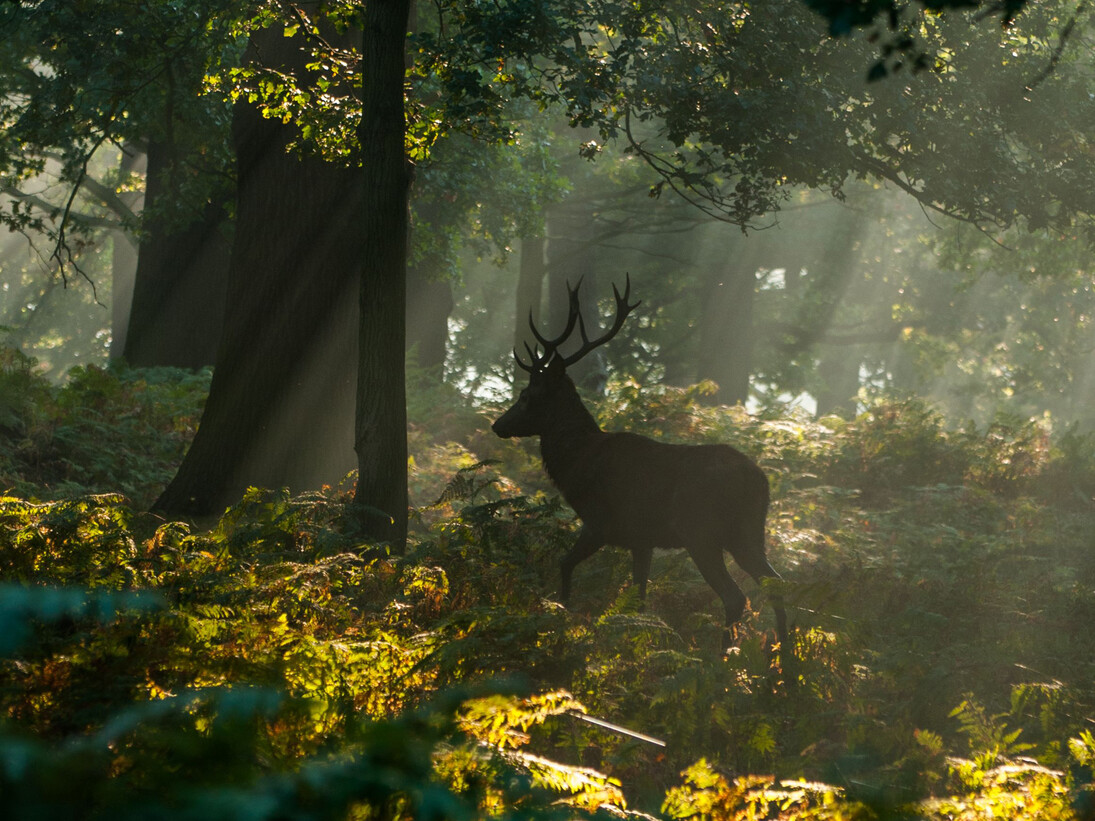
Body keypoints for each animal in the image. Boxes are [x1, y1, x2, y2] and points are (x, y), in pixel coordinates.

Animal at [492, 276, 789, 653]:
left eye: (526, 396)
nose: (497, 425)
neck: (576, 463)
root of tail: (761, 482)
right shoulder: (641, 539)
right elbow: (640, 598)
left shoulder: (601, 522)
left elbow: (565, 564)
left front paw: (562, 616)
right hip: (748, 534)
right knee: (777, 585)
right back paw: (783, 658)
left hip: (701, 531)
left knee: (736, 596)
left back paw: (723, 658)